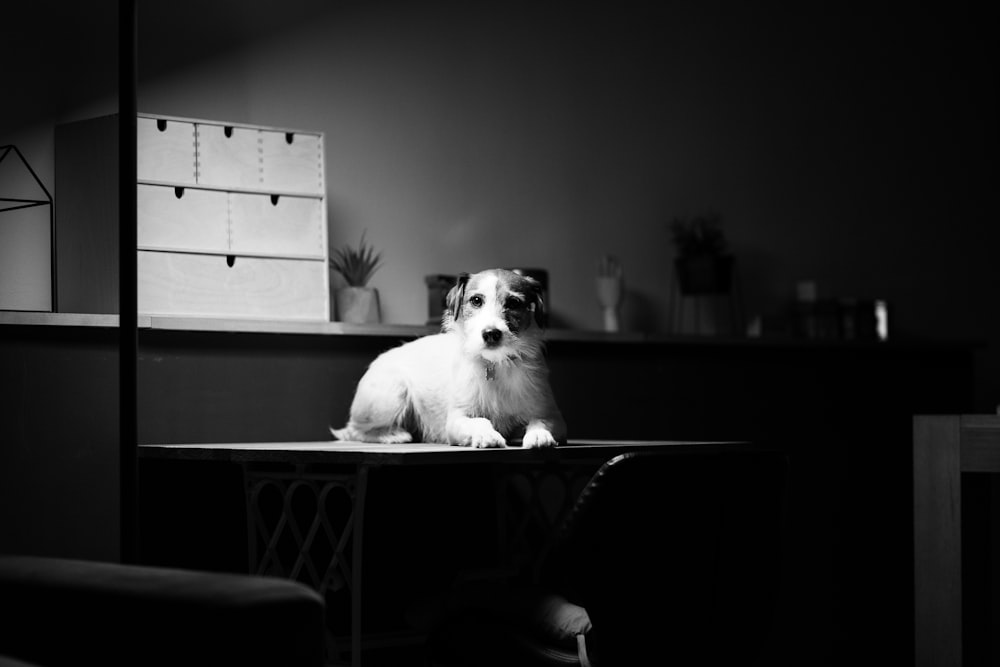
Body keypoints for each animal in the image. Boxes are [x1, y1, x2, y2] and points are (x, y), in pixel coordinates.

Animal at [332, 268, 568, 448]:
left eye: (513, 302)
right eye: (476, 300)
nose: (491, 333)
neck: (494, 364)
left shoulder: (553, 416)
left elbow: (540, 422)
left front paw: (538, 435)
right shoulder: (456, 420)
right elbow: (479, 421)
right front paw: (487, 435)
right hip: (393, 393)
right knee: (354, 431)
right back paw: (394, 435)